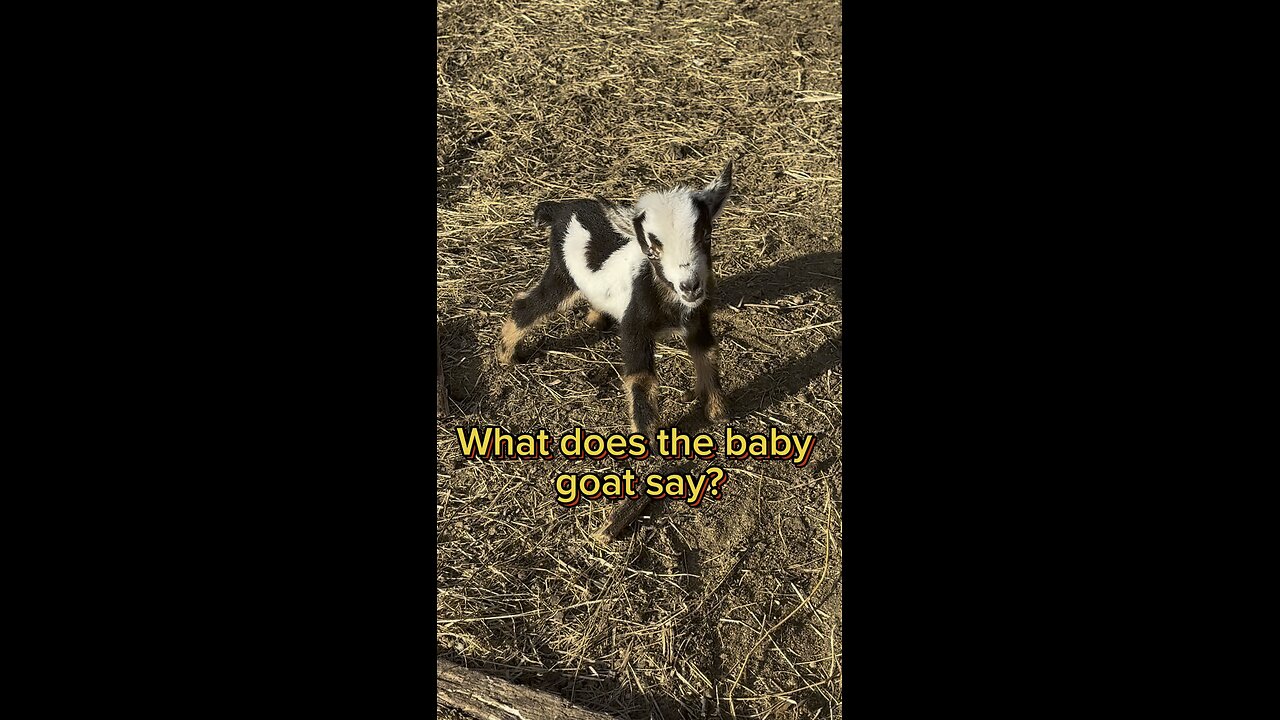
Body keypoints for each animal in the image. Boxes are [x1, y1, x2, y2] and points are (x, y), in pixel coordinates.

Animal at [497, 161, 734, 437]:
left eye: (706, 236)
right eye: (650, 251)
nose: (690, 287)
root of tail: (559, 210)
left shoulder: (699, 319)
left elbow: (707, 354)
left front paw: (717, 412)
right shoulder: (634, 326)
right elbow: (641, 379)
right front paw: (646, 437)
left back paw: (596, 318)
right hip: (562, 272)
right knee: (529, 304)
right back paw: (507, 355)